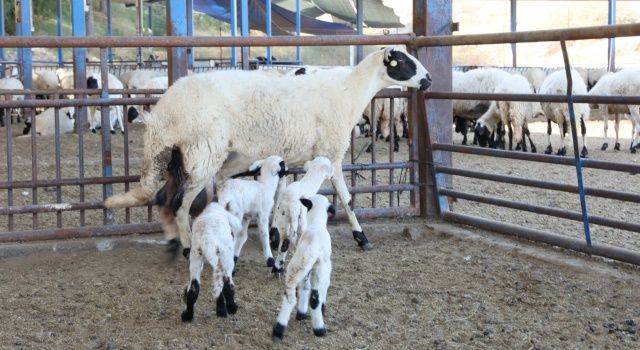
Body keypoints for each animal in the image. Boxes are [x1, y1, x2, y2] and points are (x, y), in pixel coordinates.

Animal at [105, 46, 432, 258]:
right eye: (403, 61)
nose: (428, 80)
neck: (349, 92)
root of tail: (163, 112)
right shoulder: (331, 153)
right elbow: (348, 199)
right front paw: (361, 237)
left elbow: (280, 198)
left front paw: (276, 233)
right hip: (202, 154)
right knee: (180, 204)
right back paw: (185, 246)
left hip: (183, 157)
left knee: (166, 197)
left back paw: (175, 241)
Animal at [272, 194, 338, 342]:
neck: (316, 223)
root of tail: (309, 251)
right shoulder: (325, 270)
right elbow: (322, 289)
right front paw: (322, 310)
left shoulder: (306, 271)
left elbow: (304, 288)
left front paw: (301, 314)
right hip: (319, 270)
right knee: (314, 299)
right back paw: (320, 329)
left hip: (295, 267)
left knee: (290, 296)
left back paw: (278, 330)